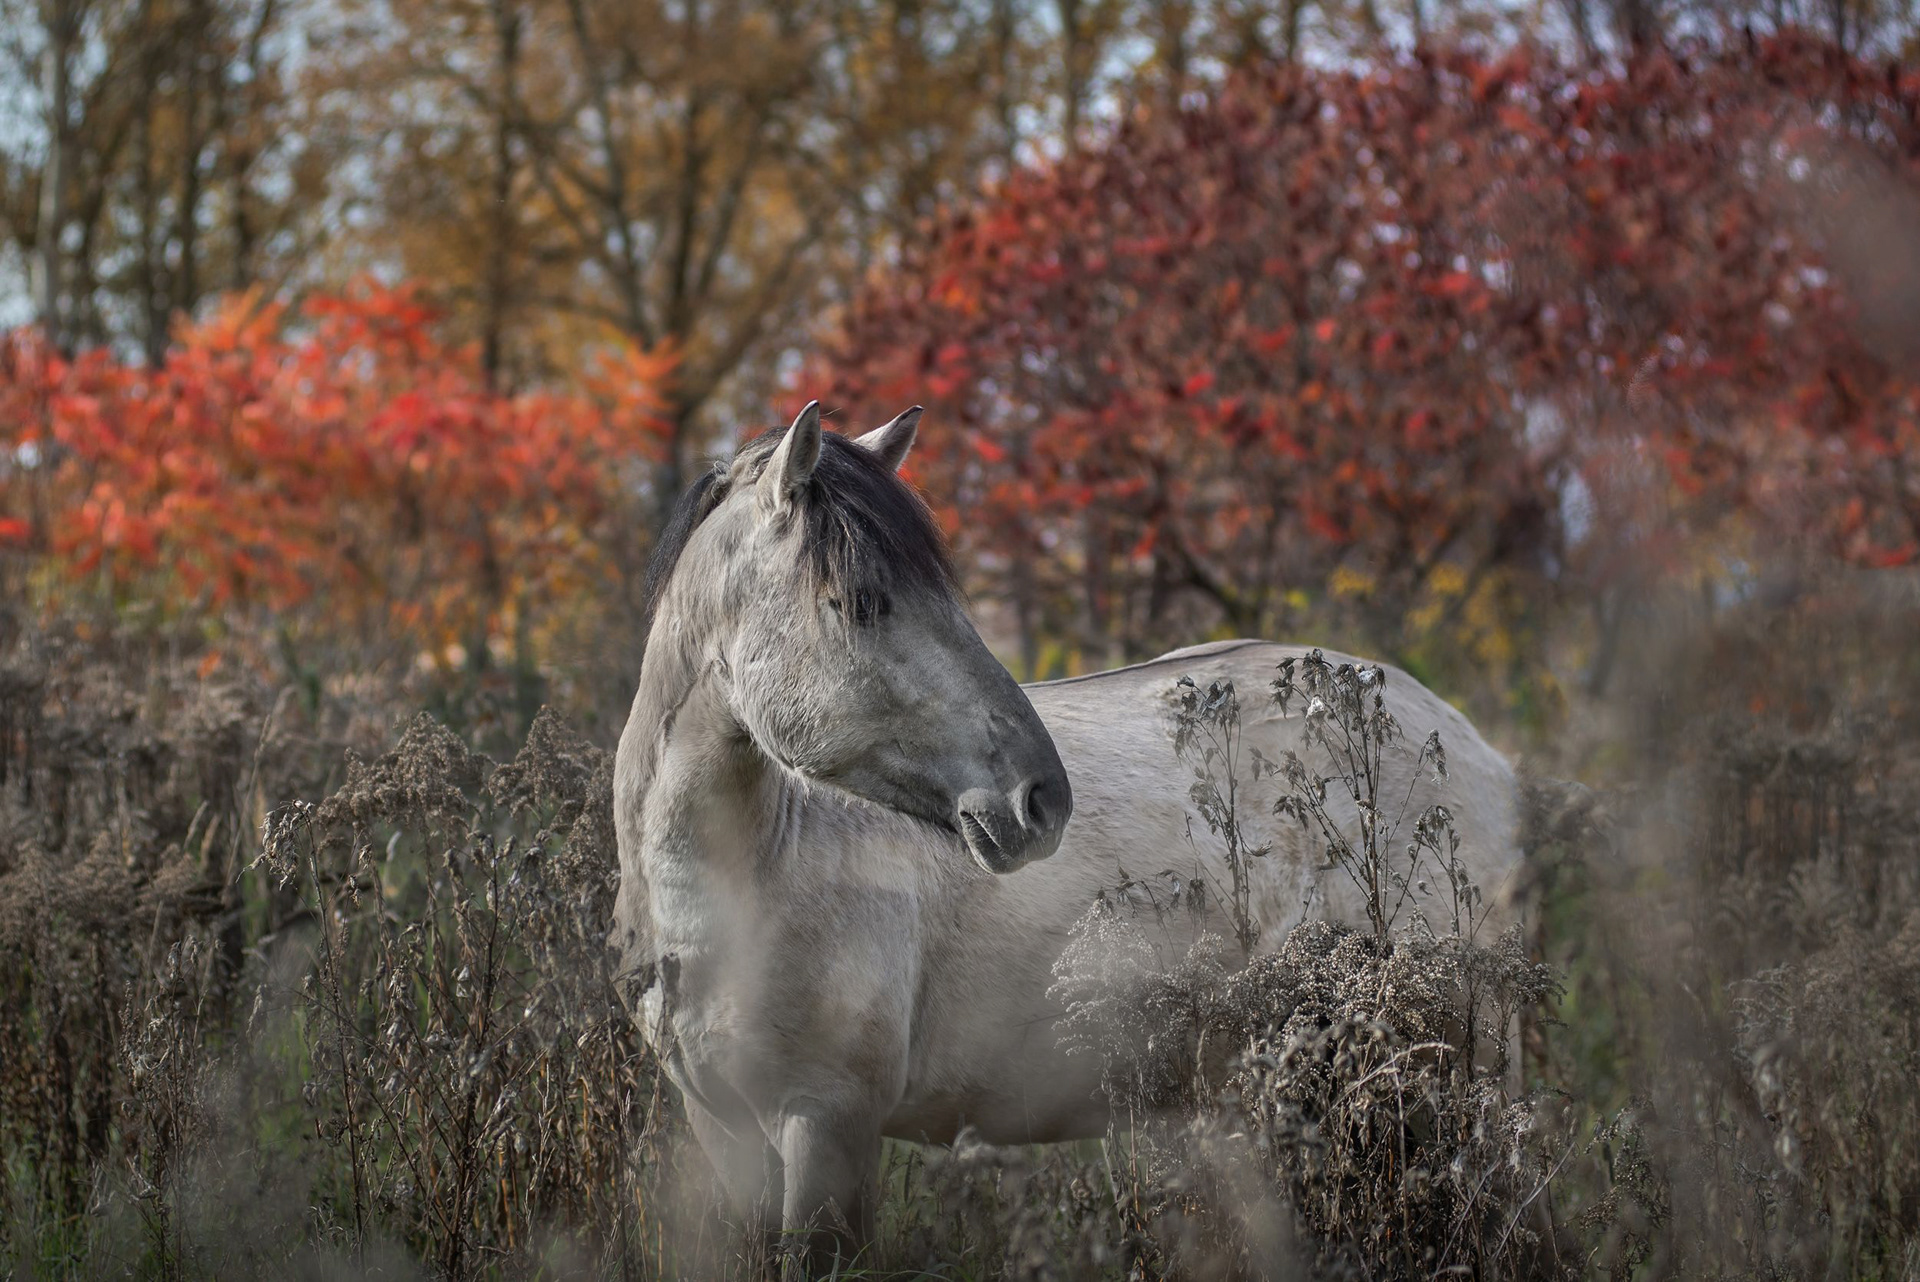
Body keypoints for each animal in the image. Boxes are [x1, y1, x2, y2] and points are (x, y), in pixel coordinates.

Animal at [609, 401, 1523, 1268]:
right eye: (862, 603)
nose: (1040, 799)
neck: (744, 882)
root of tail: (1474, 748)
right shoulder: (725, 1128)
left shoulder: (828, 1126)